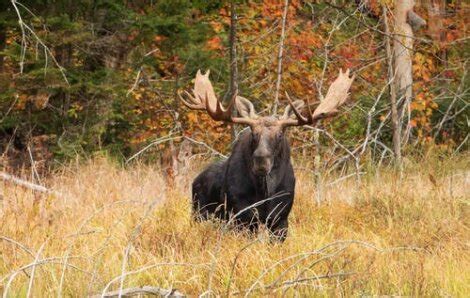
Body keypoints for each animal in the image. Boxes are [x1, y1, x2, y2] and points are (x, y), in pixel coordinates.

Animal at [179, 68, 352, 241]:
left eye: (280, 134)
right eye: (254, 133)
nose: (261, 160)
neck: (264, 192)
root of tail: (196, 180)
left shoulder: (280, 218)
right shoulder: (242, 217)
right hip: (199, 213)